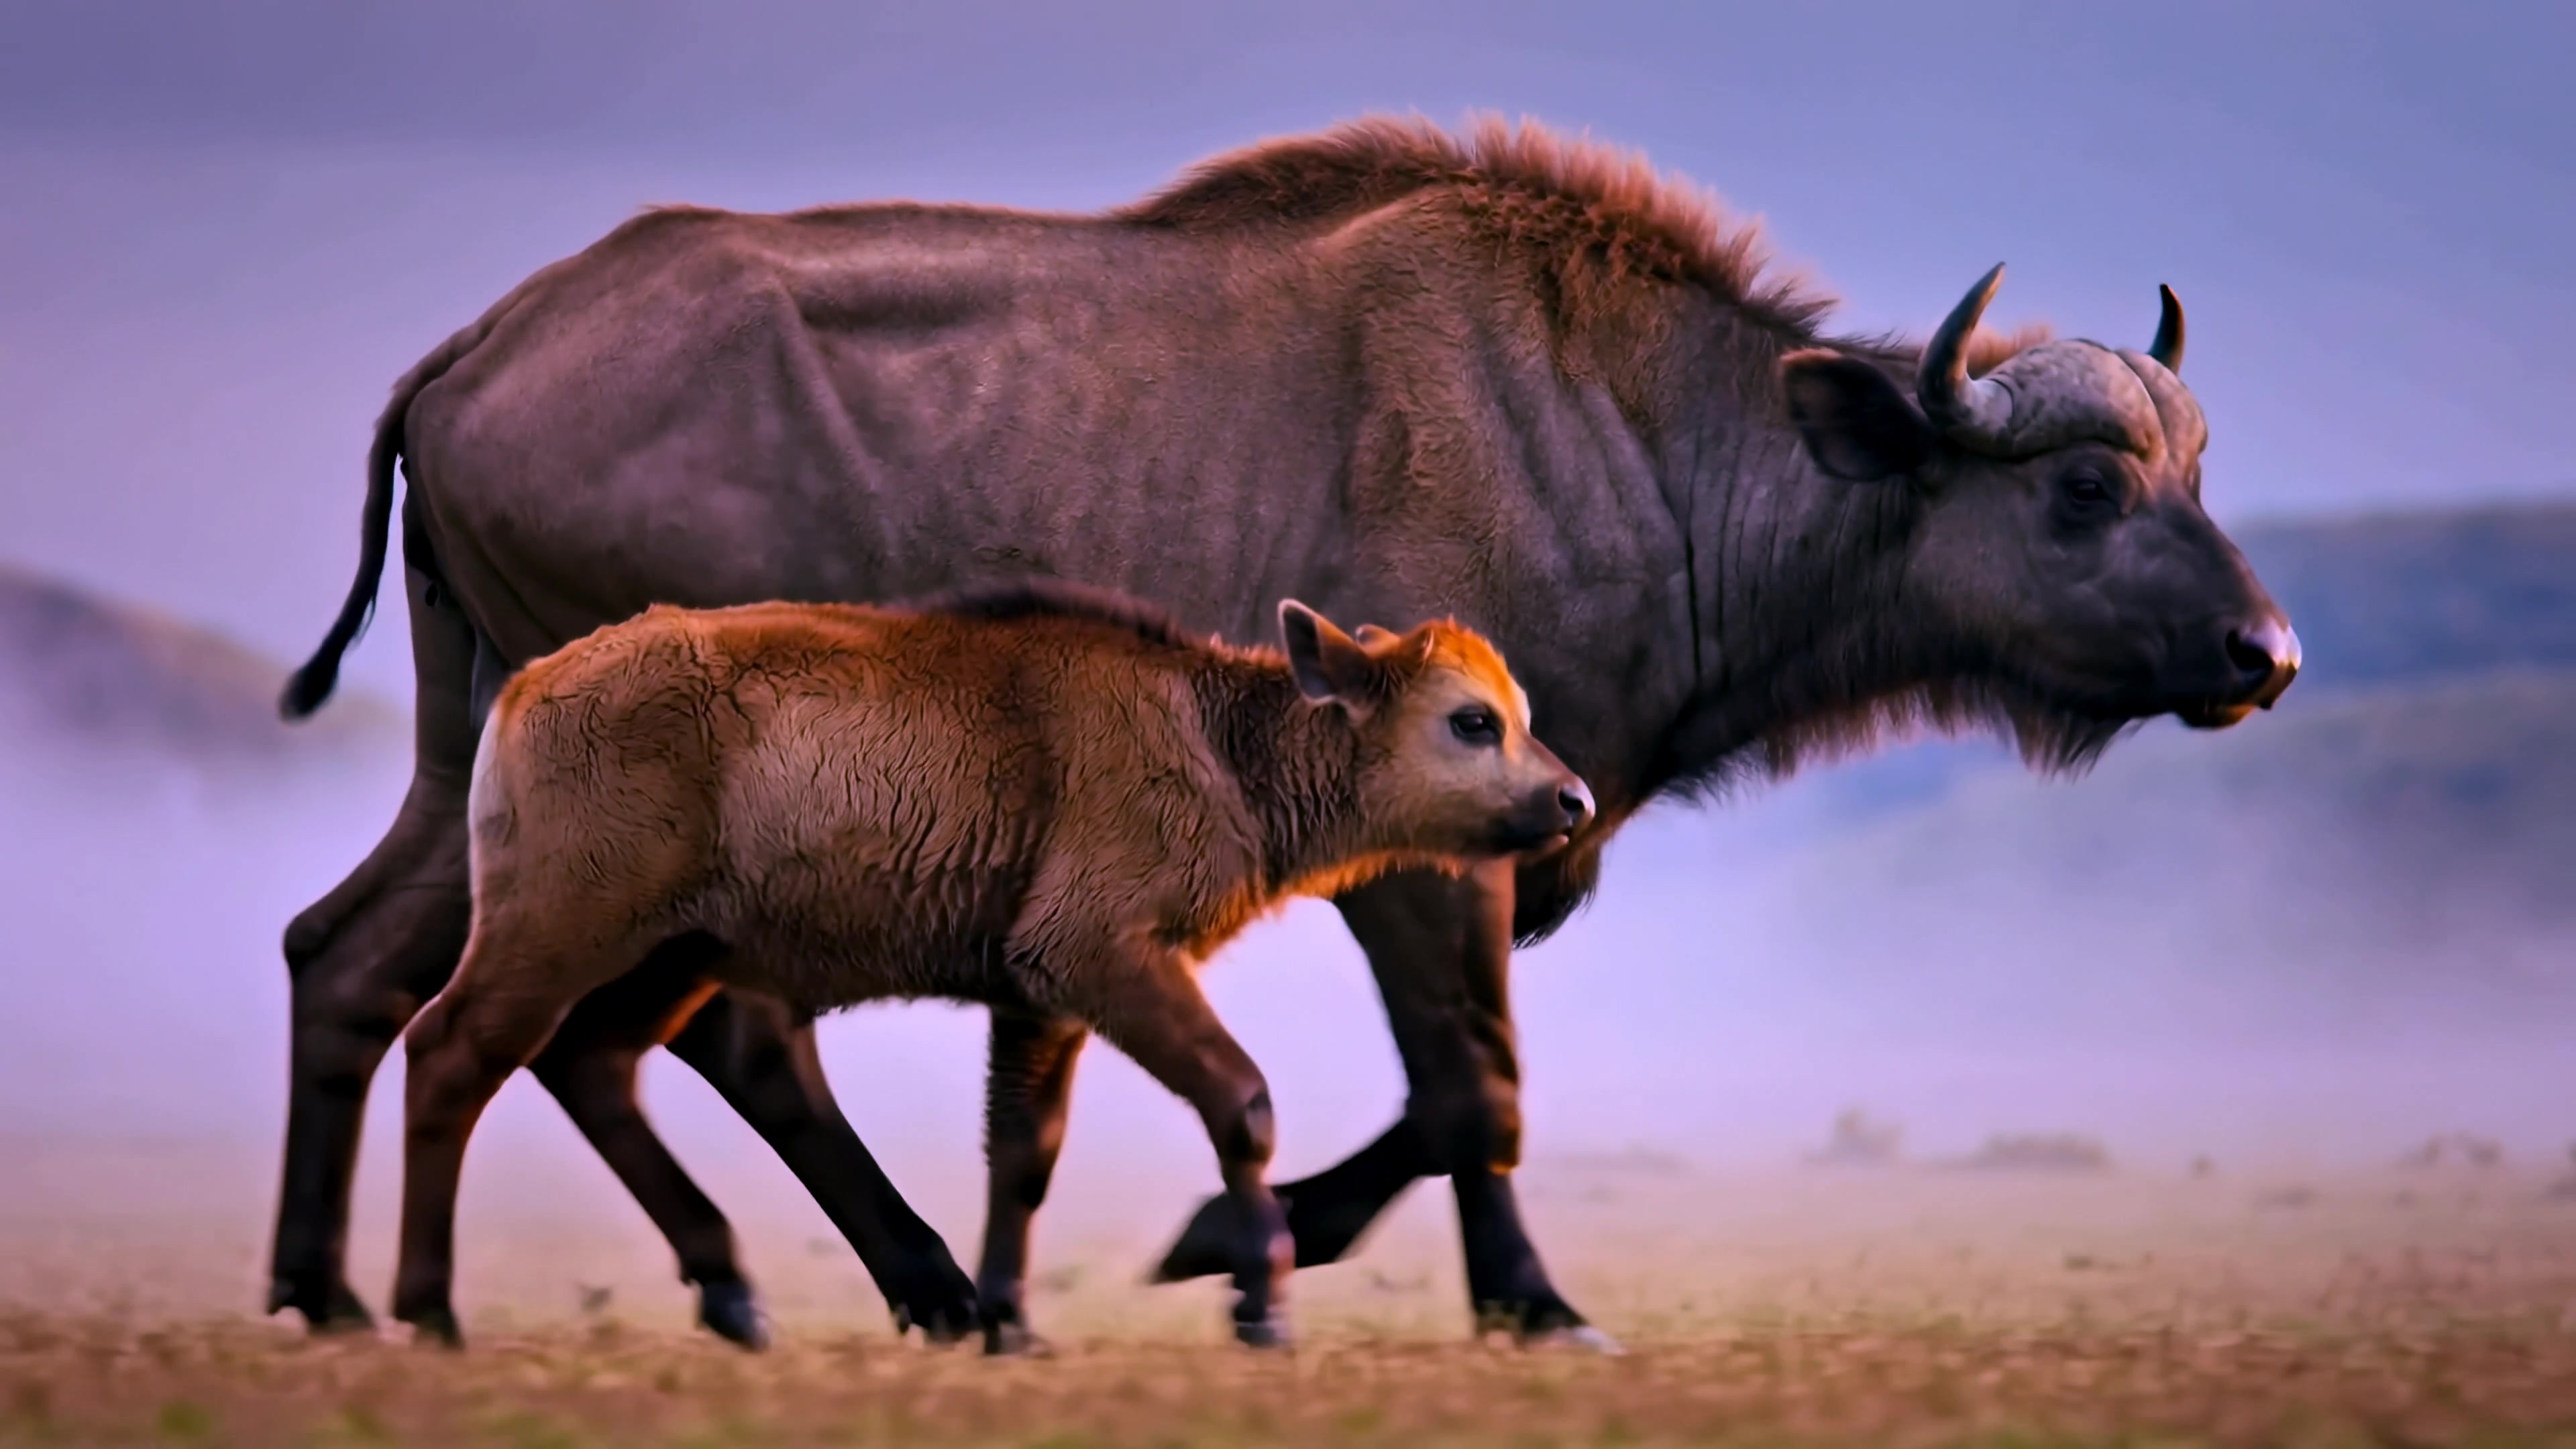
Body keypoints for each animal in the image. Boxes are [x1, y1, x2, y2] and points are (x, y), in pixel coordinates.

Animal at [390, 585, 1592, 1351]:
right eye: (1471, 721)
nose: (1573, 800)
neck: (1213, 737)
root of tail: (526, 691)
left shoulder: (1037, 995)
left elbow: (1023, 1152)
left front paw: (1010, 1322)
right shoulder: (1100, 955)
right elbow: (1242, 1101)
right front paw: (1262, 1307)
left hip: (670, 956)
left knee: (592, 1066)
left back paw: (735, 1297)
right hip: (561, 931)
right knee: (451, 1054)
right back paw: (430, 1312)